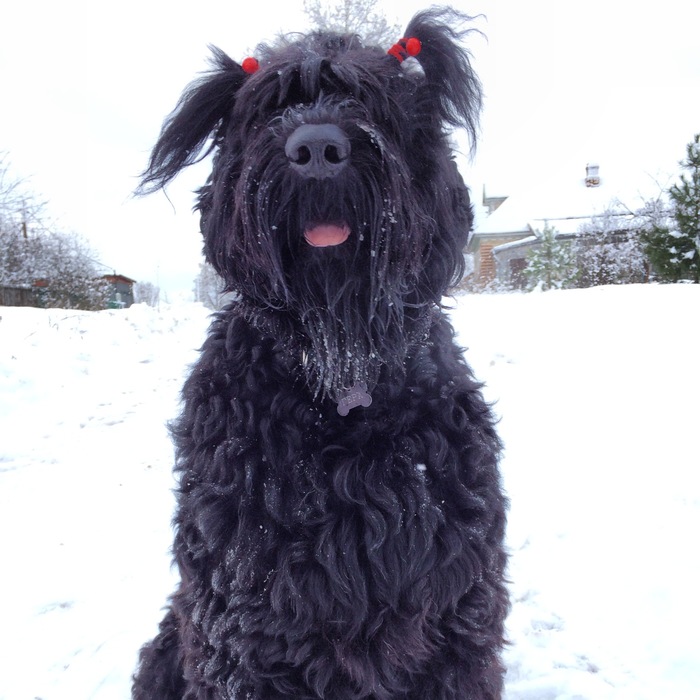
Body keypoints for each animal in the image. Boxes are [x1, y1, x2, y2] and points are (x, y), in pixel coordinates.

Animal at [133, 6, 508, 700]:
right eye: (268, 108)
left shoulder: (457, 612)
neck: (340, 383)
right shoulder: (243, 628)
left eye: (371, 99)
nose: (315, 150)